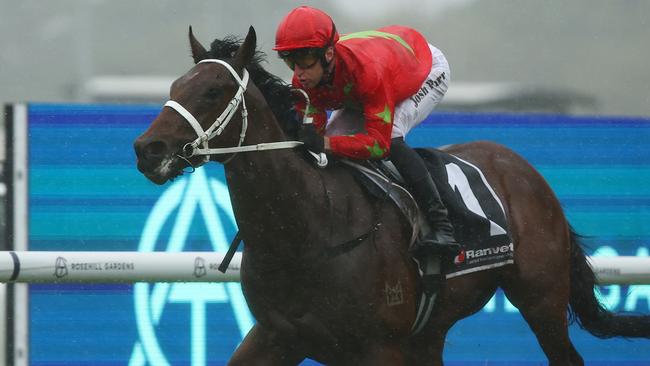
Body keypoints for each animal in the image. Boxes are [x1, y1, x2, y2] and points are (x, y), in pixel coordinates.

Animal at [133, 27, 648, 364]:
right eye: (176, 86)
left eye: (213, 90)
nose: (147, 148)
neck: (308, 229)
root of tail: (521, 167)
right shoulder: (276, 336)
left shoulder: (380, 346)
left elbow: (382, 136)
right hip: (432, 332)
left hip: (541, 297)